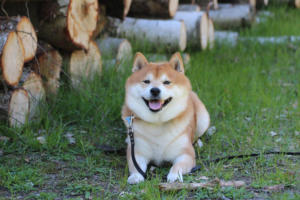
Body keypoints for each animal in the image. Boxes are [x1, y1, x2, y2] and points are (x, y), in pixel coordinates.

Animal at [120, 52, 210, 184]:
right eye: (146, 81)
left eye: (167, 82)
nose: (155, 90)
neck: (158, 123)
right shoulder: (137, 152)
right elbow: (136, 166)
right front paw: (136, 176)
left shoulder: (185, 153)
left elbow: (178, 165)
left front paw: (174, 175)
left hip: (203, 119)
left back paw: (198, 142)